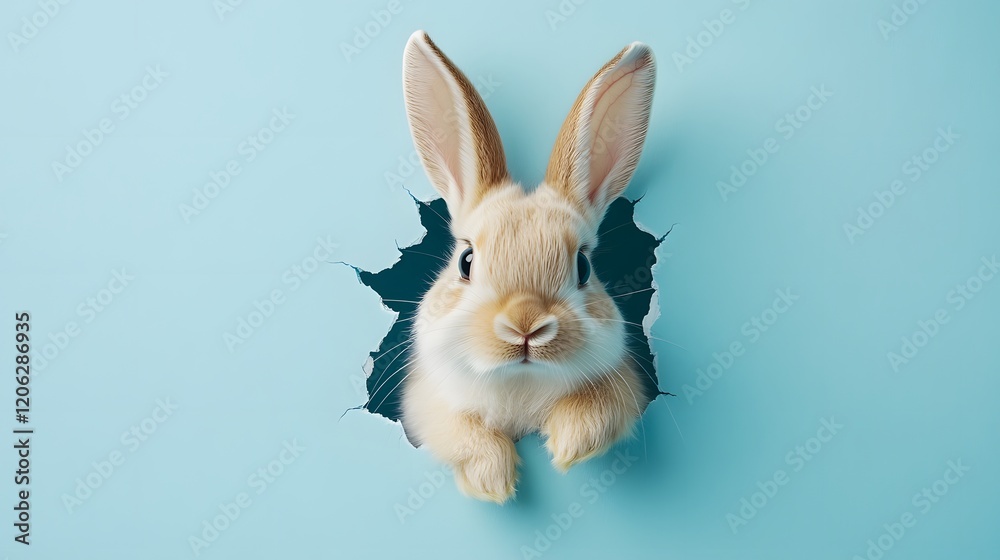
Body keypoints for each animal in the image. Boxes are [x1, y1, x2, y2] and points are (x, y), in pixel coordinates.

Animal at [398, 30, 657, 503]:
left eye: (583, 266)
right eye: (466, 261)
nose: (525, 325)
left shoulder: (621, 388)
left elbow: (597, 414)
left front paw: (567, 446)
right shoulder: (428, 403)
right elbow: (463, 434)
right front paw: (493, 481)